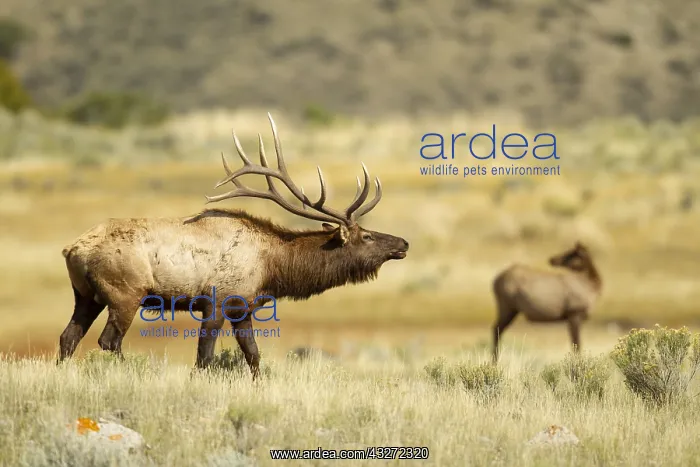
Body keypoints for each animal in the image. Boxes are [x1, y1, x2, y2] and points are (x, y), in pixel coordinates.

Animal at [58, 113, 410, 379]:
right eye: (367, 236)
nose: (403, 242)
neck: (272, 267)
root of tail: (72, 249)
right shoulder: (217, 300)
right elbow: (205, 357)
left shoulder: (244, 308)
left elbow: (253, 355)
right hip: (125, 293)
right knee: (109, 340)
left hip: (85, 295)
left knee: (68, 337)